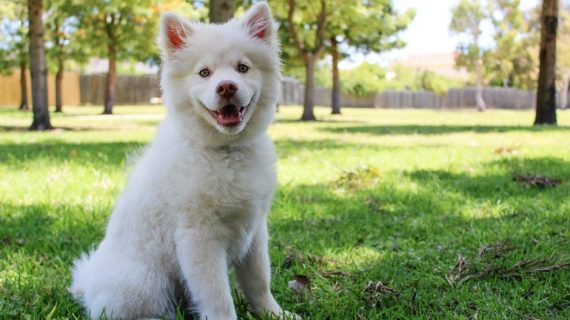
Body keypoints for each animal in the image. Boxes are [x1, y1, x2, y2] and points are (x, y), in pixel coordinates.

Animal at [70, 3, 292, 320]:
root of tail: (87, 285)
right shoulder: (199, 237)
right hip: (145, 283)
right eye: (204, 72)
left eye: (243, 68)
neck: (225, 151)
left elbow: (259, 281)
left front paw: (274, 313)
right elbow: (218, 296)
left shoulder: (255, 230)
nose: (226, 87)